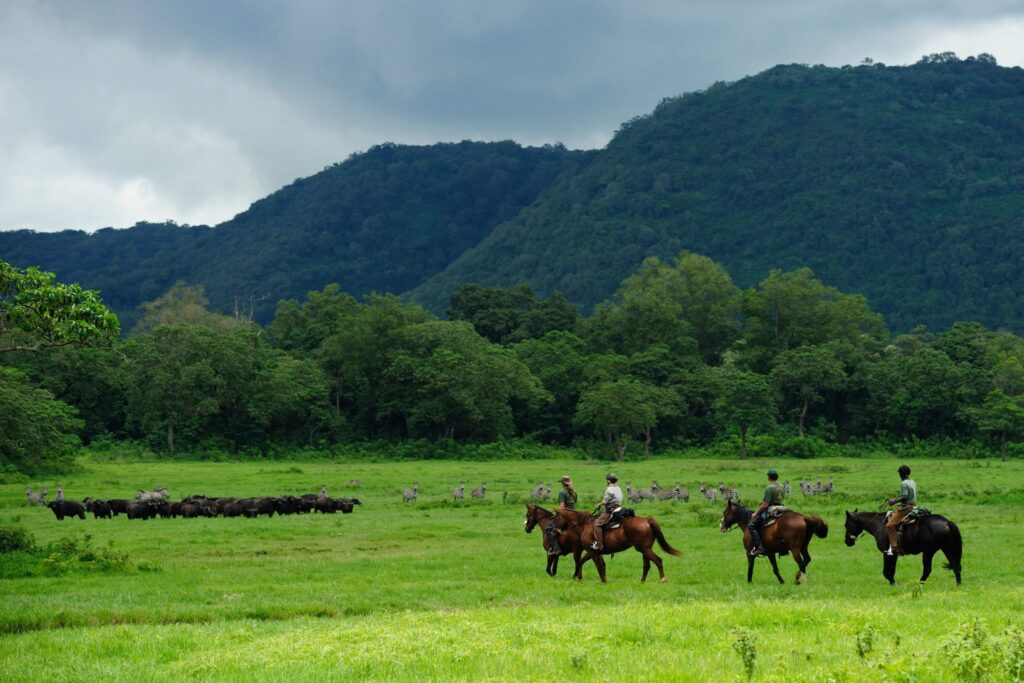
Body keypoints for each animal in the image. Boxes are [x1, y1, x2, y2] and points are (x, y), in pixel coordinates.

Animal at [552, 508, 682, 583]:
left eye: (556, 517)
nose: (552, 530)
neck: (585, 525)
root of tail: (647, 520)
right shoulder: (593, 552)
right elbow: (584, 562)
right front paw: (578, 577)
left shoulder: (592, 552)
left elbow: (597, 566)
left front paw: (603, 581)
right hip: (645, 550)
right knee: (647, 565)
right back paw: (642, 581)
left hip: (644, 549)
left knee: (658, 561)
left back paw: (662, 579)